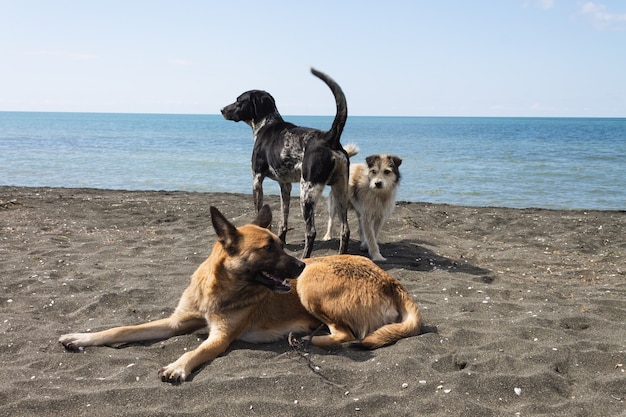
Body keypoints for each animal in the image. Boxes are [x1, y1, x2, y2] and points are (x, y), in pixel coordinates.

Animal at [58, 204, 422, 380]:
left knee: (345, 334)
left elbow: (196, 351)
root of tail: (391, 280)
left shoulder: (220, 337)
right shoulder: (175, 322)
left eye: (282, 244)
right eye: (268, 248)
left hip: (311, 286)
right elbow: (122, 329)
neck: (218, 289)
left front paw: (178, 366)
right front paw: (81, 337)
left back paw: (308, 339)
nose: (299, 265)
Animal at [219, 68, 348, 256]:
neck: (266, 124)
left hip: (306, 193)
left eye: (239, 100)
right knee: (345, 230)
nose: (222, 110)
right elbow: (283, 218)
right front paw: (280, 239)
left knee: (311, 231)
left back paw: (306, 257)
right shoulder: (284, 185)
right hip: (340, 192)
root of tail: (329, 138)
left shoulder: (256, 180)